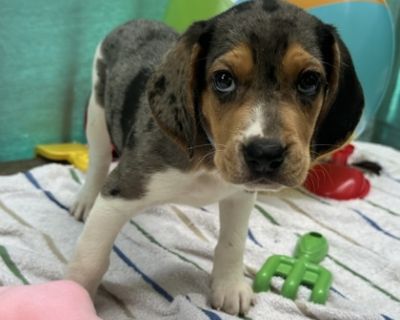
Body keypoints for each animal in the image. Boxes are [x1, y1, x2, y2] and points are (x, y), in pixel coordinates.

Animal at [65, 0, 362, 316]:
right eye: (223, 79)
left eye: (309, 81)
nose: (265, 153)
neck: (210, 159)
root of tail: (136, 22)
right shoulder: (120, 192)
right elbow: (90, 259)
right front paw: (74, 296)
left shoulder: (241, 195)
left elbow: (233, 243)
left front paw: (229, 286)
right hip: (97, 116)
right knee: (98, 162)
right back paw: (85, 200)